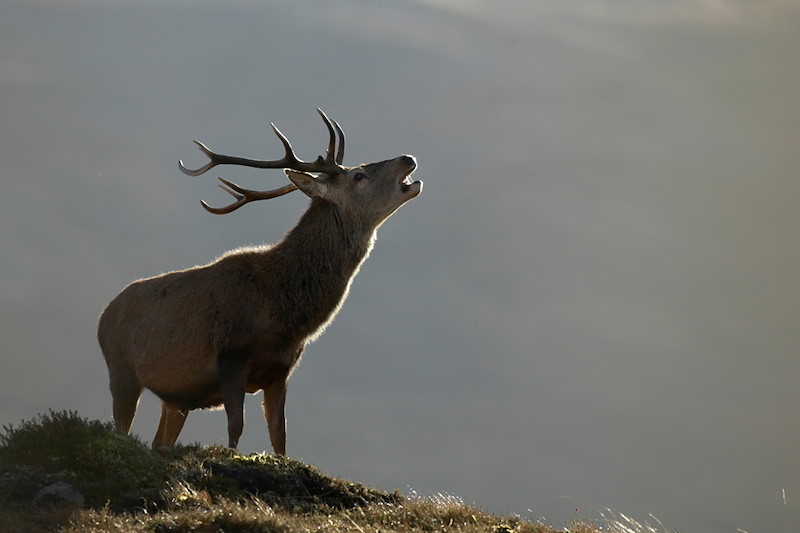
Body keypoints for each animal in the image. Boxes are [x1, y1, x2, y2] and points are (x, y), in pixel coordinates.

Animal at [97, 109, 422, 454]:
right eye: (358, 175)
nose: (407, 157)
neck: (286, 315)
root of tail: (103, 315)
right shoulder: (231, 355)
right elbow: (235, 427)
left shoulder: (281, 370)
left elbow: (280, 437)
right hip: (121, 369)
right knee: (122, 425)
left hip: (176, 398)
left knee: (160, 441)